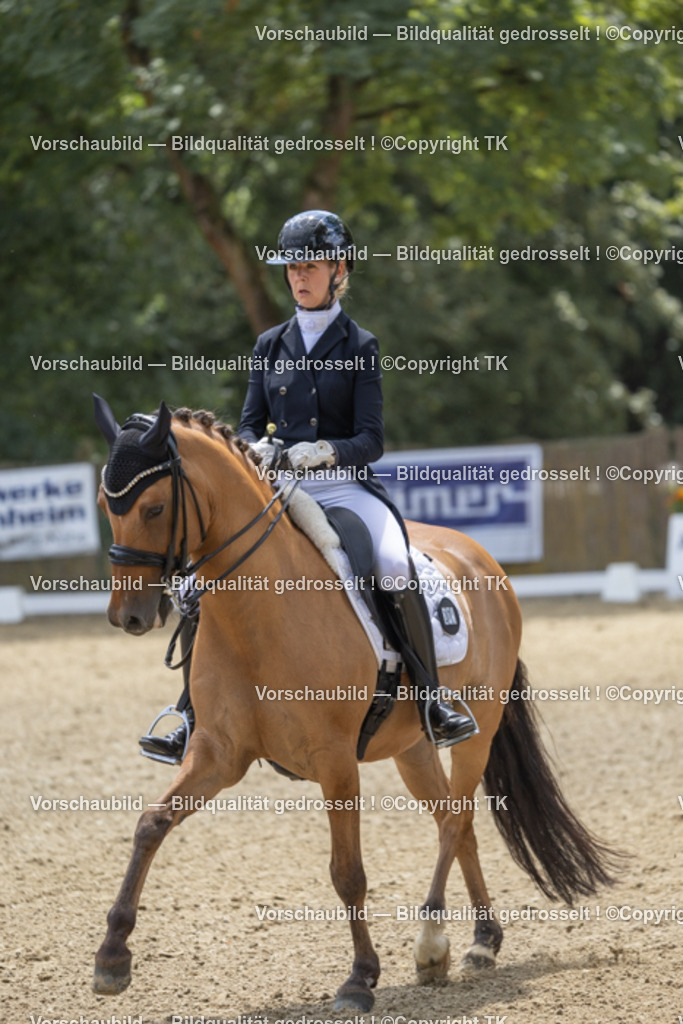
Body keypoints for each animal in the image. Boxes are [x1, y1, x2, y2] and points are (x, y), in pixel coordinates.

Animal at [91, 397, 622, 1011]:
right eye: (107, 505)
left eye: (154, 508)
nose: (127, 616)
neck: (259, 611)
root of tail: (482, 558)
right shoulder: (219, 753)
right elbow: (151, 824)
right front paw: (112, 957)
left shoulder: (336, 760)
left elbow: (348, 872)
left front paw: (360, 979)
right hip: (413, 747)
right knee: (454, 819)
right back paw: (482, 941)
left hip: (479, 730)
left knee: (457, 817)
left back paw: (431, 942)